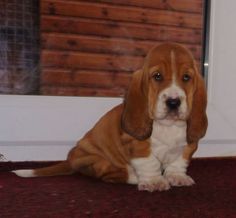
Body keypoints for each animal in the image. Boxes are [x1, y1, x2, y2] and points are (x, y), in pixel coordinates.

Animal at [13, 43, 208, 192]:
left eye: (186, 77)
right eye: (157, 76)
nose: (173, 102)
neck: (168, 125)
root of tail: (70, 160)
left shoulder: (189, 144)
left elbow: (179, 161)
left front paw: (177, 177)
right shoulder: (137, 144)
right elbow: (149, 162)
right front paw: (154, 181)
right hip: (98, 161)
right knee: (112, 175)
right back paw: (134, 177)